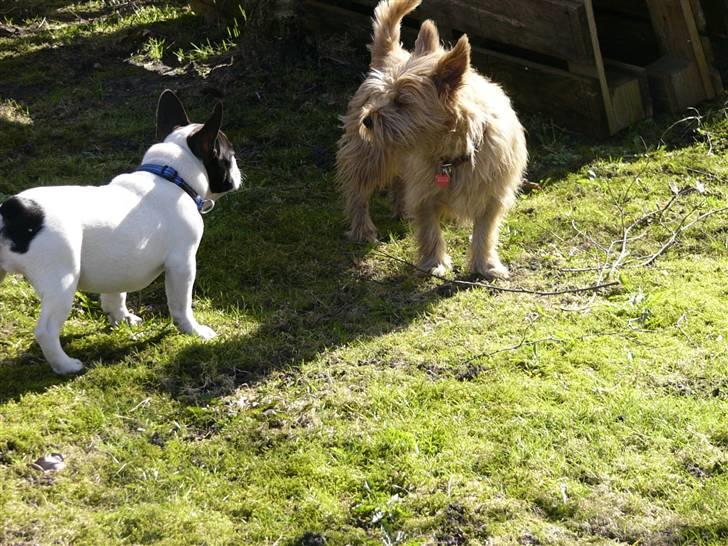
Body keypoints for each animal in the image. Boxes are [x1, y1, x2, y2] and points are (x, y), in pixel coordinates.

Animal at [0, 89, 245, 374]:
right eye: (230, 155)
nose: (238, 171)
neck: (171, 176)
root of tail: (15, 211)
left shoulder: (118, 265)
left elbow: (116, 294)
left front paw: (122, 318)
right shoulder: (182, 264)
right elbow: (181, 304)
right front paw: (194, 331)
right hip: (62, 280)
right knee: (46, 330)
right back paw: (66, 365)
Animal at [332, 0, 528, 278]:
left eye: (401, 102)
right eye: (381, 97)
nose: (367, 120)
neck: (454, 153)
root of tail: (390, 54)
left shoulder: (493, 196)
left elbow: (485, 232)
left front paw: (486, 266)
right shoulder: (424, 193)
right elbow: (429, 230)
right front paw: (434, 263)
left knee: (398, 183)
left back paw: (401, 210)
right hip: (369, 157)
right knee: (357, 193)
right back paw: (363, 229)